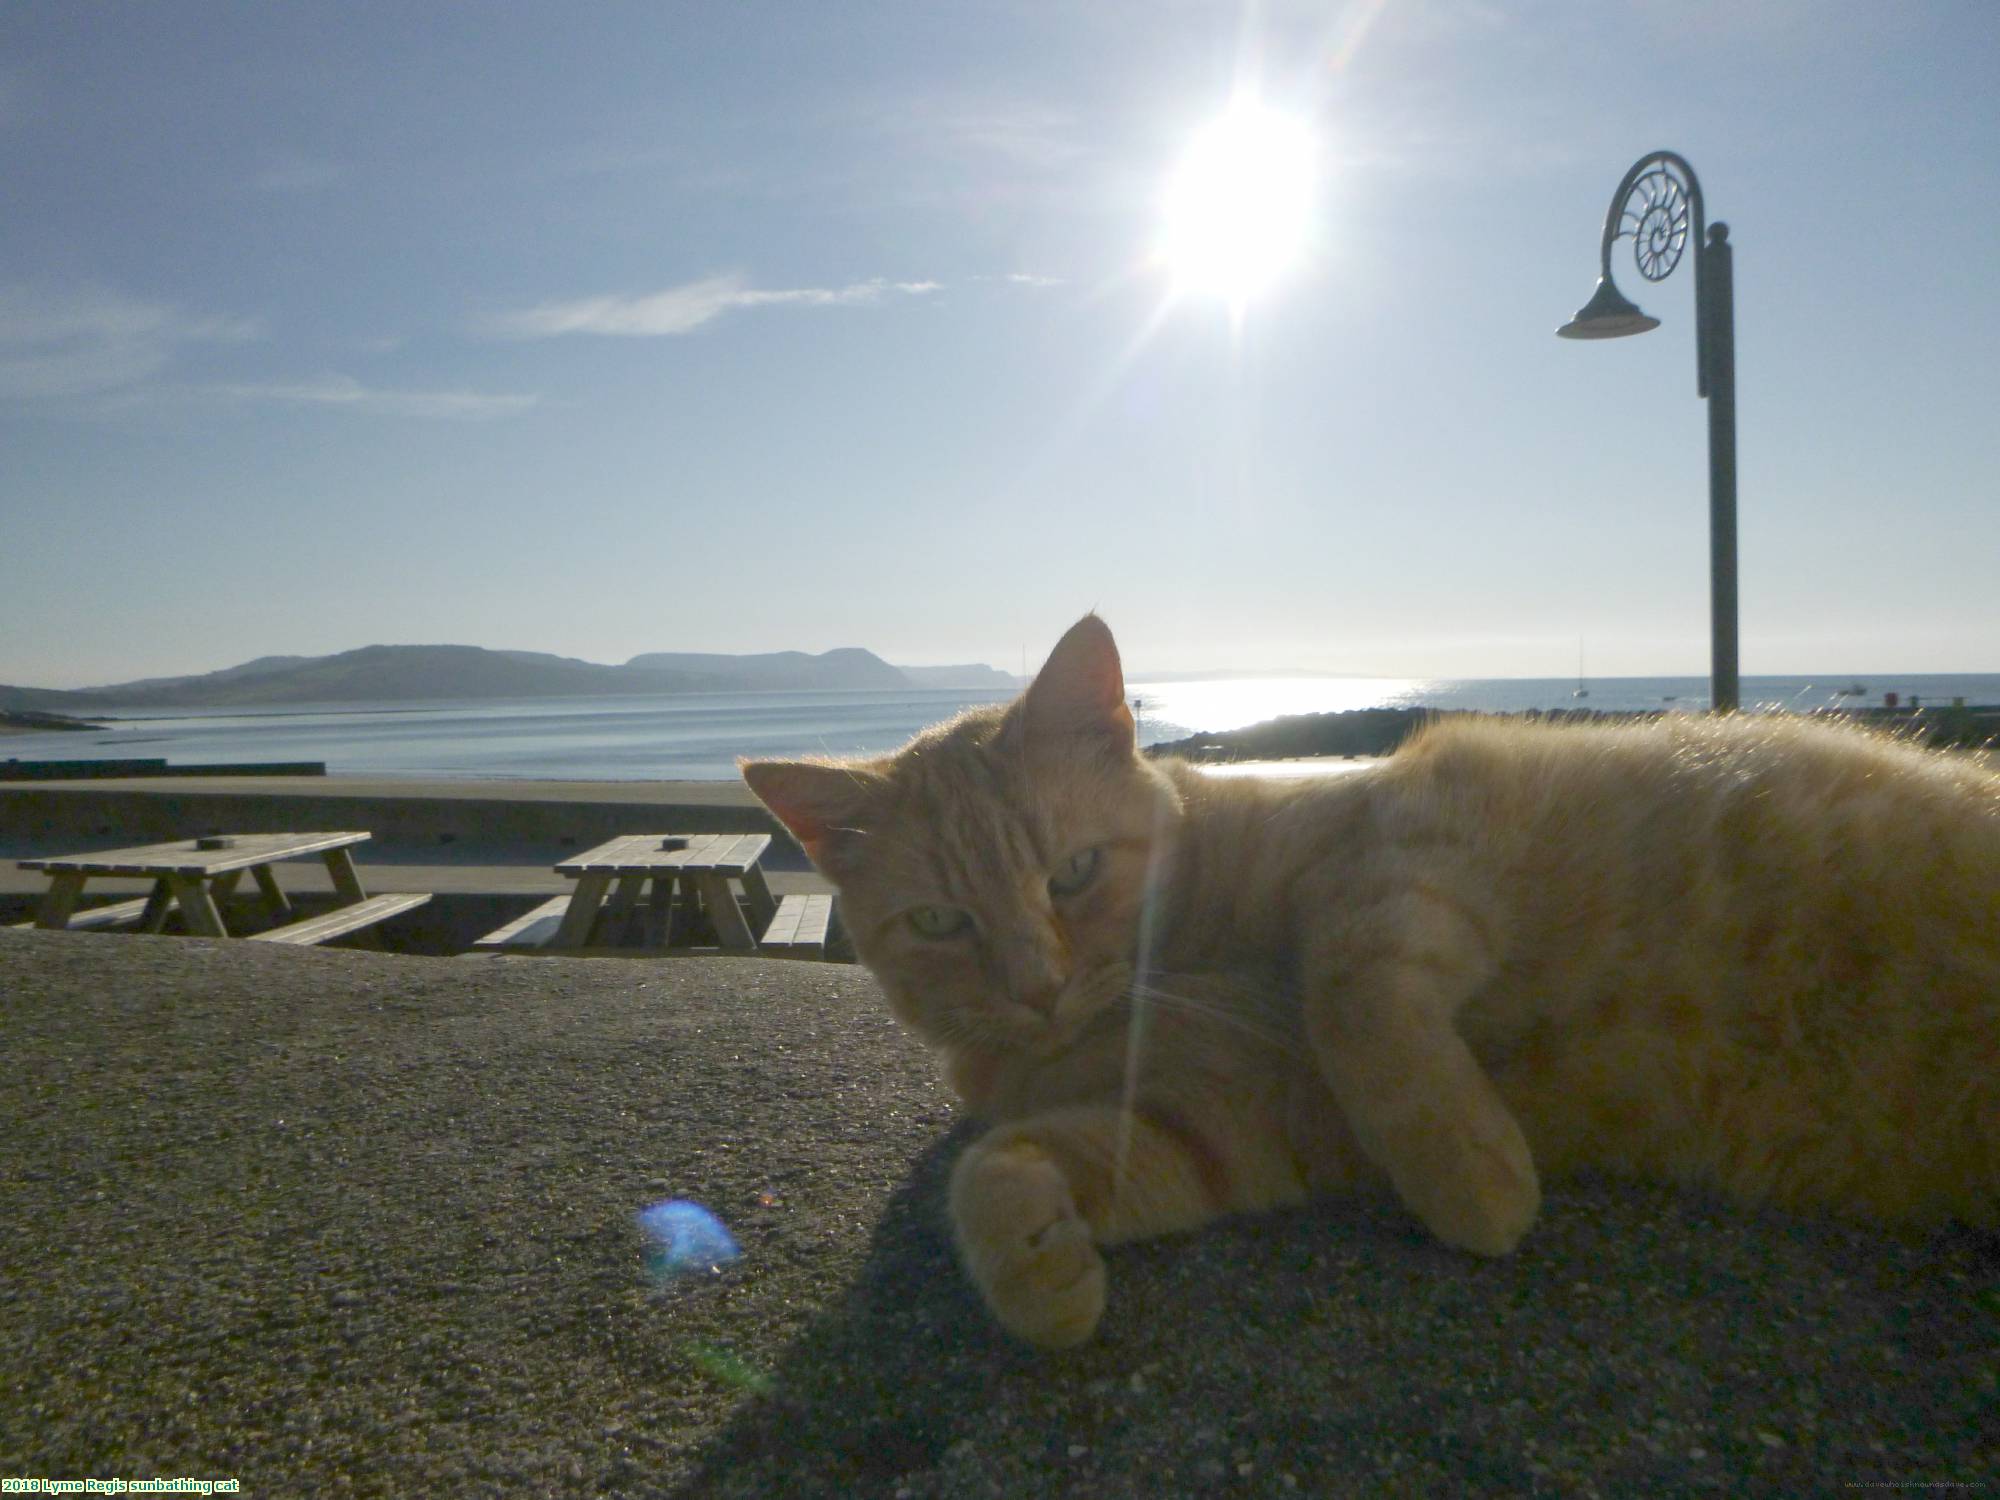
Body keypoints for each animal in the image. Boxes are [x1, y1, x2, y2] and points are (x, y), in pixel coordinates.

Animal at [748, 616, 2000, 1344]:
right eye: (940, 922)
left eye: (1073, 873)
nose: (1037, 985)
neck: (1170, 968)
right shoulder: (1222, 1128)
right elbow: (998, 1167)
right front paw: (1035, 1274)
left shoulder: (1413, 836)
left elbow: (1345, 992)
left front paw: (1474, 1182)